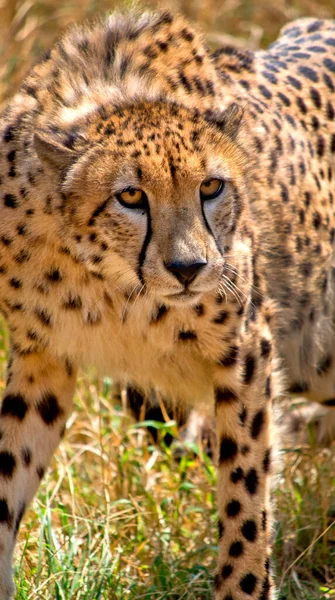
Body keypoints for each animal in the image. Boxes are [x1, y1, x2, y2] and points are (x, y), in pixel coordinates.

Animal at [0, 9, 335, 600]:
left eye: (212, 186)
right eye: (131, 195)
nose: (189, 269)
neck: (110, 283)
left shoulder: (248, 354)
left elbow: (245, 494)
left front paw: (244, 586)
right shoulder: (43, 358)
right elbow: (5, 478)